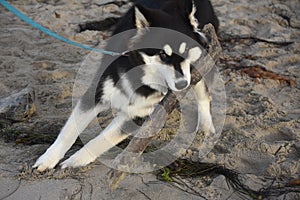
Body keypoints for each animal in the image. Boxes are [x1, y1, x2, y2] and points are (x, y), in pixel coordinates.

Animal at [34, 0, 219, 172]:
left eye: (185, 51)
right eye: (162, 55)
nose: (182, 84)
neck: (141, 73)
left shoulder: (138, 114)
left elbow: (103, 139)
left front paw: (76, 160)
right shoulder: (97, 93)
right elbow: (69, 130)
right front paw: (49, 158)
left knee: (203, 93)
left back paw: (206, 126)